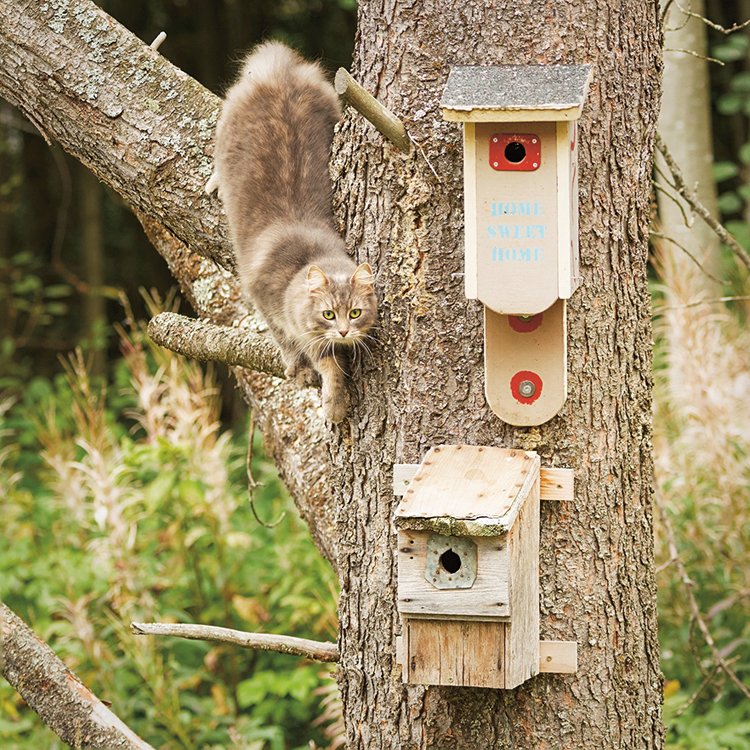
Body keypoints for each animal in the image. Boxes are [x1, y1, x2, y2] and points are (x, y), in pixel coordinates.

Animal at [206, 42, 378, 424]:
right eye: (328, 314)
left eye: (355, 313)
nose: (343, 330)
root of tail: (279, 69)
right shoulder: (266, 303)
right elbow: (291, 343)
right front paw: (307, 377)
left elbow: (331, 363)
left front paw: (334, 396)